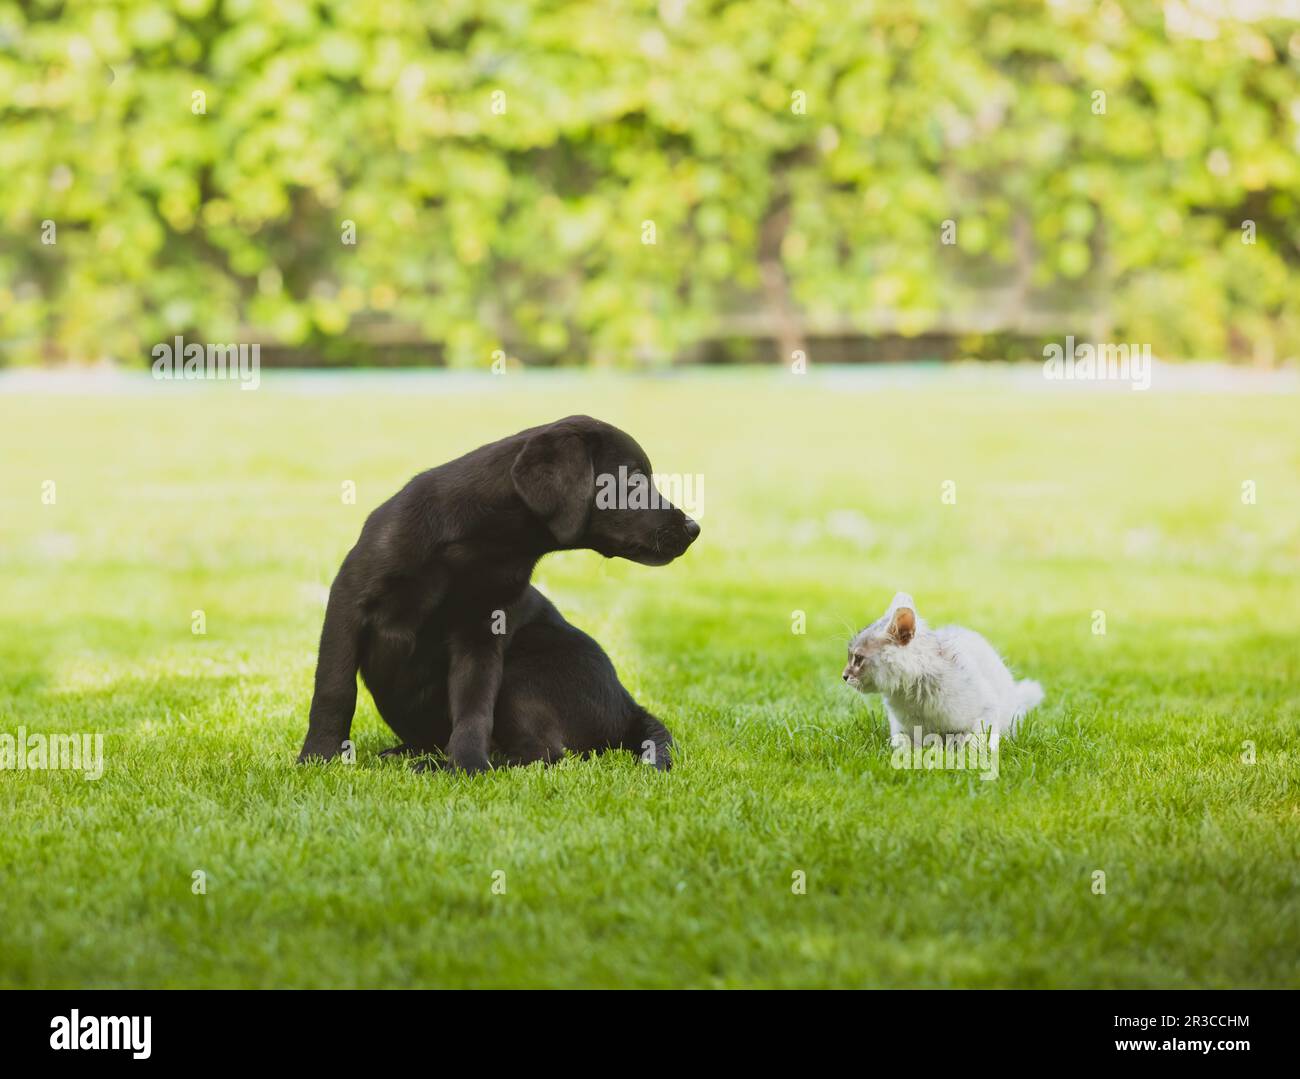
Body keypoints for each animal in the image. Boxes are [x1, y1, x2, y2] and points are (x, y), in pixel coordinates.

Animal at [297, 416, 702, 780]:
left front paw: (467, 768)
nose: (694, 528)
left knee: (546, 753)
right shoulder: (348, 603)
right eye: (633, 480)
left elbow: (474, 708)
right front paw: (319, 757)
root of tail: (631, 706)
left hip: (525, 672)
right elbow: (334, 689)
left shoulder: (482, 631)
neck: (484, 545)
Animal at [842, 592, 1045, 754]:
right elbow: (904, 744)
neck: (913, 698)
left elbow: (972, 742)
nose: (844, 676)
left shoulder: (987, 710)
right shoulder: (901, 727)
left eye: (858, 658)